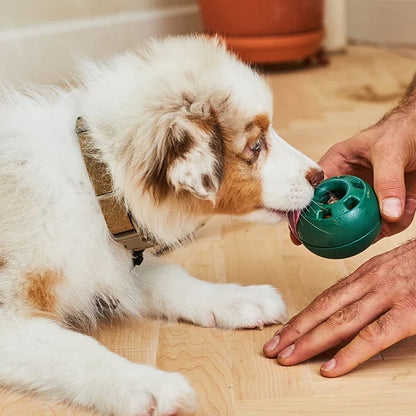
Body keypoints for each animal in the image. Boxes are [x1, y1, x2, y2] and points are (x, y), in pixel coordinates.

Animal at [0, 36, 322, 416]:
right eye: (256, 145)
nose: (319, 174)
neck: (96, 183)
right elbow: (76, 350)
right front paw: (149, 386)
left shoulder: (113, 262)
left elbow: (168, 277)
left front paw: (240, 299)